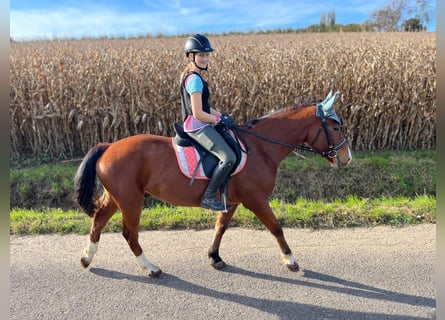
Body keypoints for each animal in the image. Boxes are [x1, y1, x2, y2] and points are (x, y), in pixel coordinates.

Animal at [73, 90, 350, 278]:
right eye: (336, 127)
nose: (347, 157)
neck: (261, 147)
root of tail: (108, 146)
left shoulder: (233, 200)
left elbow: (220, 227)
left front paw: (214, 257)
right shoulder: (256, 200)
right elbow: (276, 228)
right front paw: (290, 260)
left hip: (116, 196)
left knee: (98, 221)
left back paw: (87, 258)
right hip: (131, 200)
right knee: (129, 233)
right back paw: (150, 268)